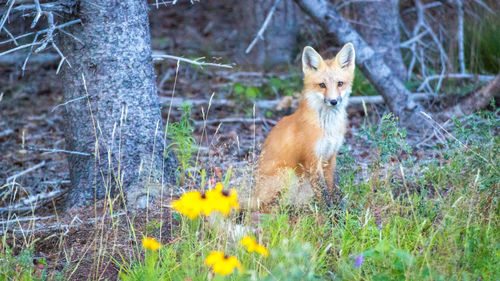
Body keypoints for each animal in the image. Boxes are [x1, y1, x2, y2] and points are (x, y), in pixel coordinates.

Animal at [252, 43, 354, 210]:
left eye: (340, 83)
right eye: (322, 85)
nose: (333, 101)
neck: (327, 128)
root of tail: (254, 194)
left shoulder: (330, 157)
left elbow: (333, 187)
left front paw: (339, 209)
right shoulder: (312, 159)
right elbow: (323, 193)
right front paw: (329, 214)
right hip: (288, 174)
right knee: (269, 207)